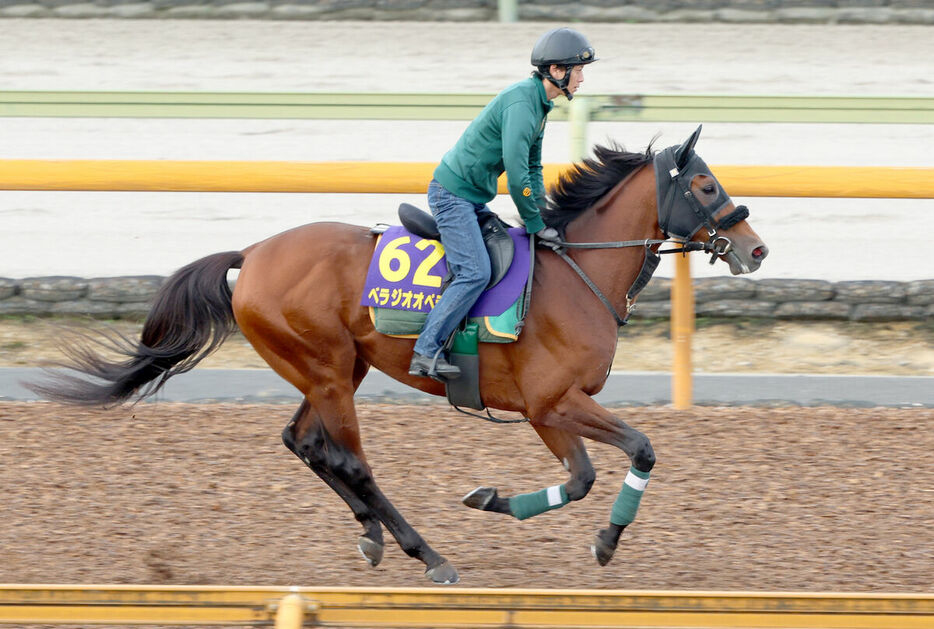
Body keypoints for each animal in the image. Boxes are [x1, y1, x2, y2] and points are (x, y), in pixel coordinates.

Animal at [34, 124, 768, 584]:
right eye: (706, 186)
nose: (756, 248)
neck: (578, 273)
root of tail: (254, 253)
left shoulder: (553, 411)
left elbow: (587, 475)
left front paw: (495, 499)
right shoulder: (551, 404)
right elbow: (632, 453)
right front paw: (603, 540)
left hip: (333, 369)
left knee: (303, 441)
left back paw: (372, 536)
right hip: (327, 369)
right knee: (350, 460)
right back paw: (428, 554)